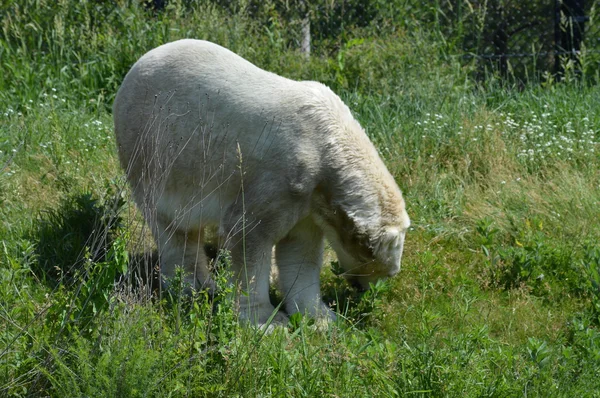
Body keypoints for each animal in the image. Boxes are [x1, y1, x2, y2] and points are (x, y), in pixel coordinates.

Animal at [113, 39, 408, 326]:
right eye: (385, 269)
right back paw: (194, 287)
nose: (364, 290)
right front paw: (268, 321)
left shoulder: (310, 201)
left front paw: (322, 318)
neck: (326, 143)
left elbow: (300, 251)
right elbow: (249, 235)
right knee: (172, 225)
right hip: (154, 150)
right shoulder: (281, 178)